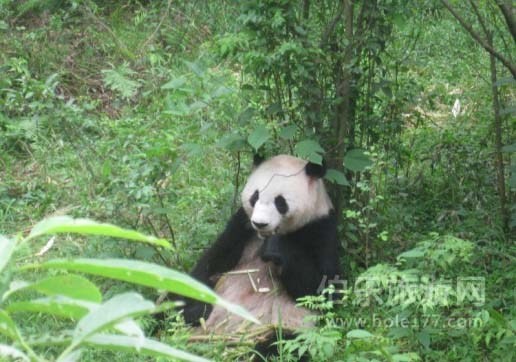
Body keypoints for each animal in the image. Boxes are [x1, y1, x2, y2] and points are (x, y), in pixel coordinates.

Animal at [179, 155, 340, 356]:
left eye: (280, 202)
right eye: (254, 197)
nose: (260, 223)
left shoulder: (321, 228)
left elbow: (324, 290)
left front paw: (275, 248)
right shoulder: (242, 225)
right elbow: (212, 264)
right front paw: (196, 309)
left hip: (277, 328)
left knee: (283, 343)